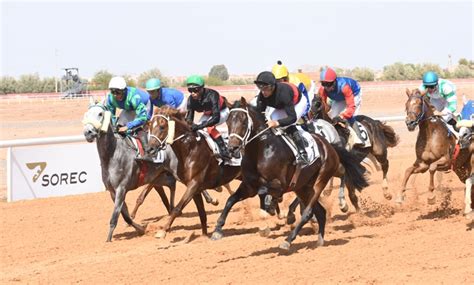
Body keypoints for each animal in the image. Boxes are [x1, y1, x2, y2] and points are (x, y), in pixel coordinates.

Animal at [82, 101, 173, 241]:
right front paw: (141, 229)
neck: (112, 154)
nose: (88, 132)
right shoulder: (113, 191)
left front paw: (108, 241)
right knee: (169, 186)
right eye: (87, 114)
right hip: (159, 176)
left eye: (100, 113)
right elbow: (125, 216)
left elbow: (115, 217)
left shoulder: (121, 188)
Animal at [146, 105, 241, 236]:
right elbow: (202, 214)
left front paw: (163, 231)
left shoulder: (194, 184)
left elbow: (177, 208)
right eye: (150, 126)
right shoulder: (195, 188)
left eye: (162, 126)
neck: (190, 148)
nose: (149, 149)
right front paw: (204, 236)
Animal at [211, 98, 370, 250]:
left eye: (244, 121)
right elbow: (230, 200)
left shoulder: (279, 184)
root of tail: (330, 146)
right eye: (228, 121)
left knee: (308, 212)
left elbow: (264, 191)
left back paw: (288, 240)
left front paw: (268, 212)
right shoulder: (249, 186)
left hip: (319, 182)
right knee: (320, 212)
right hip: (303, 187)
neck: (260, 150)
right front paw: (217, 230)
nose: (232, 148)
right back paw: (319, 240)